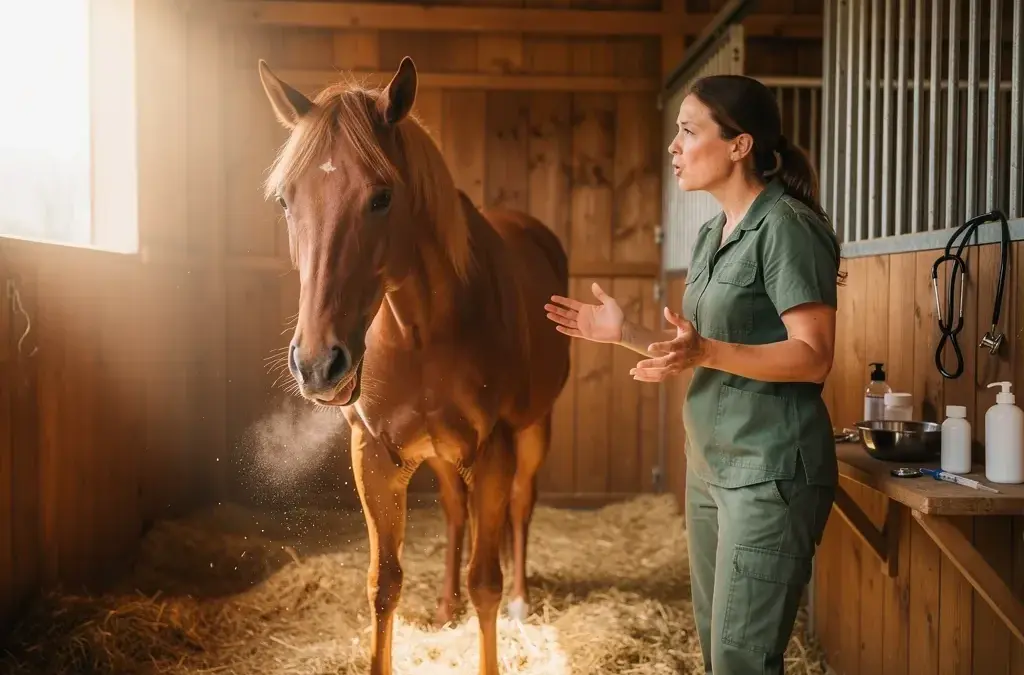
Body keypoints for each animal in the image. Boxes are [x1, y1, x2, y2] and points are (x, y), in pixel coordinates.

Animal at [257, 55, 572, 675]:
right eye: (285, 201)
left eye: (381, 197)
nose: (319, 364)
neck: (421, 330)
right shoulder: (375, 455)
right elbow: (385, 583)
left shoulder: (494, 450)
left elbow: (486, 582)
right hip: (445, 457)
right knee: (454, 513)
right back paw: (447, 605)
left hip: (534, 430)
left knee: (521, 505)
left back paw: (522, 599)